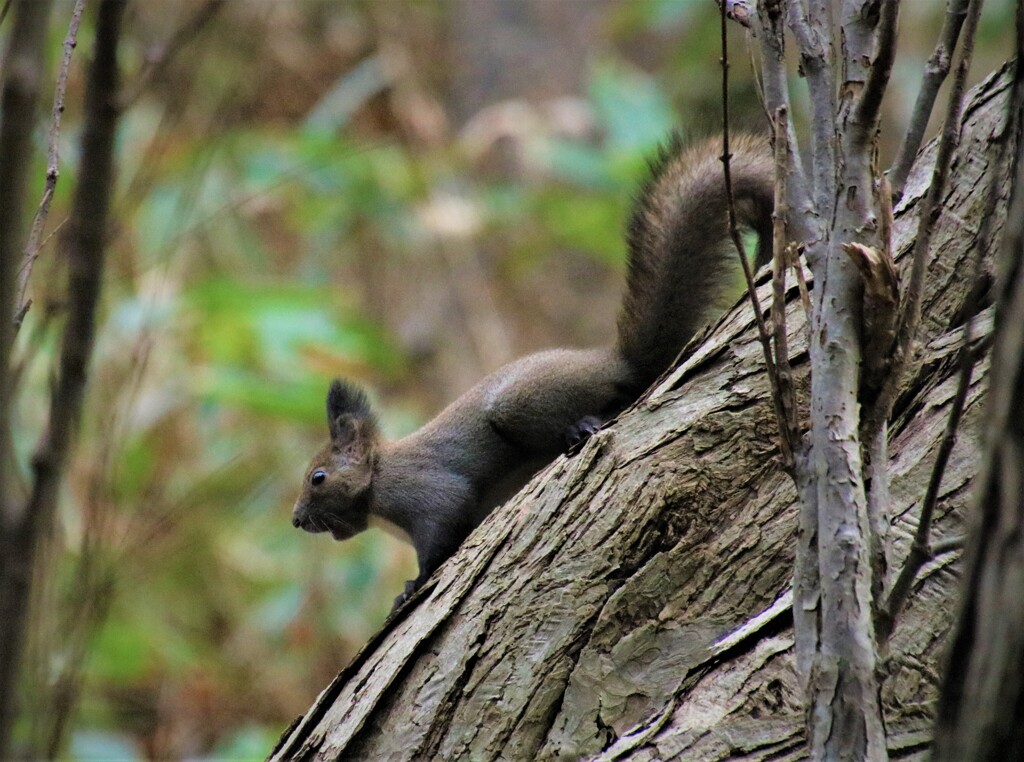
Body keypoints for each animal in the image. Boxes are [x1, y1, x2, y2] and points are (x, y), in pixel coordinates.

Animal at [288, 132, 770, 606]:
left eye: (318, 477)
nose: (295, 520)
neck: (377, 476)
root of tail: (615, 361)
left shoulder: (421, 489)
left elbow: (445, 519)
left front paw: (412, 586)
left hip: (520, 404)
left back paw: (583, 426)